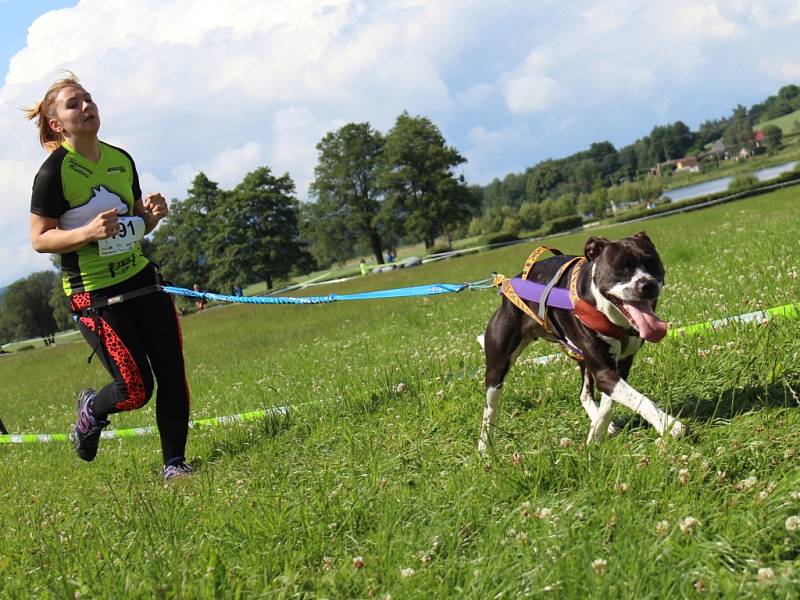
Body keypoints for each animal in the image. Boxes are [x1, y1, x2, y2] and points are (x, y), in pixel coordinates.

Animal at [478, 230, 684, 450]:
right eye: (621, 268)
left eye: (651, 262)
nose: (647, 284)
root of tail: (509, 284)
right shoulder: (604, 372)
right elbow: (640, 399)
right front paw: (667, 423)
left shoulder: (620, 365)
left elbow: (611, 402)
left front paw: (596, 434)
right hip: (497, 369)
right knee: (490, 409)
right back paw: (484, 447)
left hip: (583, 358)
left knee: (584, 393)